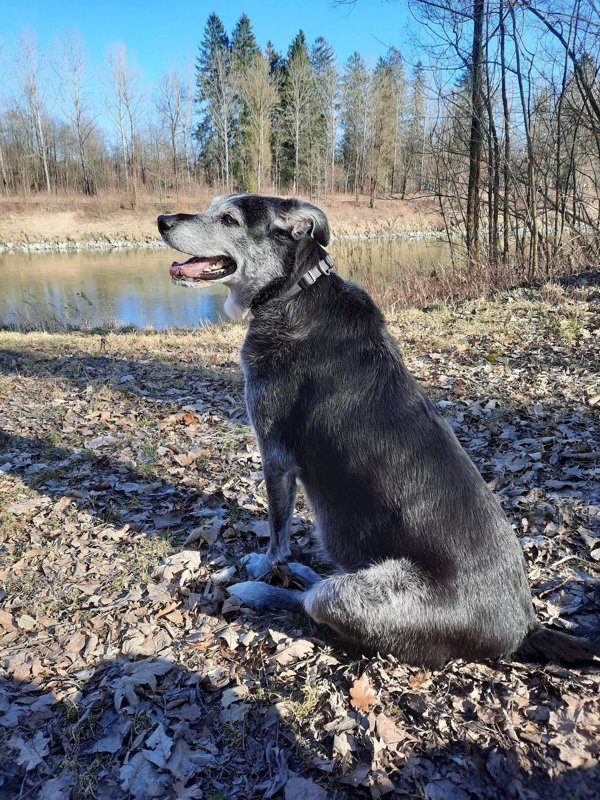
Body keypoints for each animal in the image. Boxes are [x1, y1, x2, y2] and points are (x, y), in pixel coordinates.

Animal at [159, 195, 600, 668]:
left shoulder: (275, 455)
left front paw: (263, 567)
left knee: (310, 602)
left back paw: (261, 589)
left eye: (229, 219)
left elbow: (278, 532)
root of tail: (524, 631)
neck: (297, 289)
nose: (162, 220)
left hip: (346, 596)